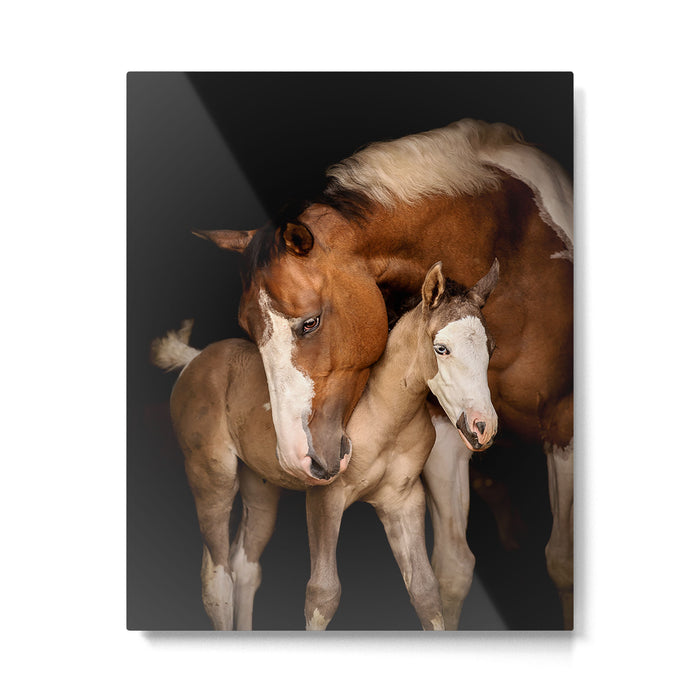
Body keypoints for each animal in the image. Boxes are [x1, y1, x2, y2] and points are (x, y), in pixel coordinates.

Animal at [152, 261, 498, 630]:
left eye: (491, 348)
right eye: (441, 348)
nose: (483, 426)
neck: (383, 413)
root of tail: (195, 359)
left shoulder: (403, 500)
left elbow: (426, 592)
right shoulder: (326, 496)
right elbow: (323, 594)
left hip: (259, 485)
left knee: (244, 565)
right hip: (210, 475)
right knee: (217, 579)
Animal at [195, 119, 574, 628]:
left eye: (310, 322)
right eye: (246, 329)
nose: (295, 456)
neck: (516, 245)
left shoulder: (563, 423)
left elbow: (562, 562)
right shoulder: (446, 432)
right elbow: (452, 569)